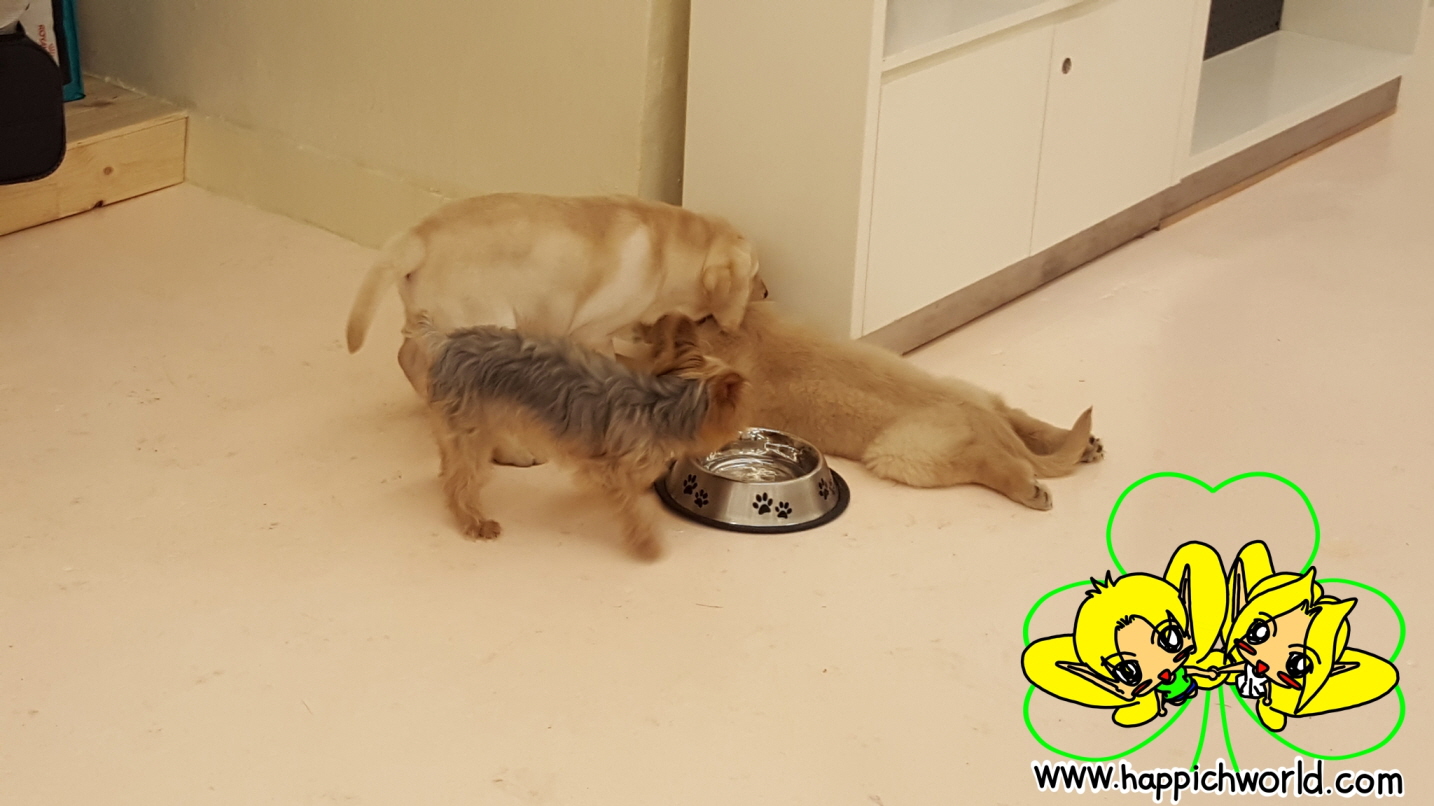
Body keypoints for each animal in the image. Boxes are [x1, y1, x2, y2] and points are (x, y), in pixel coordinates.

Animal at [409, 313, 747, 560]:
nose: (739, 433)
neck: (662, 404)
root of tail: (444, 343)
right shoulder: (616, 467)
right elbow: (633, 507)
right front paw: (646, 546)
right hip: (474, 432)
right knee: (460, 483)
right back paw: (475, 522)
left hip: (458, 425)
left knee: (450, 462)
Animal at [636, 303, 1102, 510]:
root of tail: (977, 414)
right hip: (972, 392)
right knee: (1017, 414)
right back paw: (1083, 443)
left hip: (903, 453)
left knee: (987, 461)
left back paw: (1028, 487)